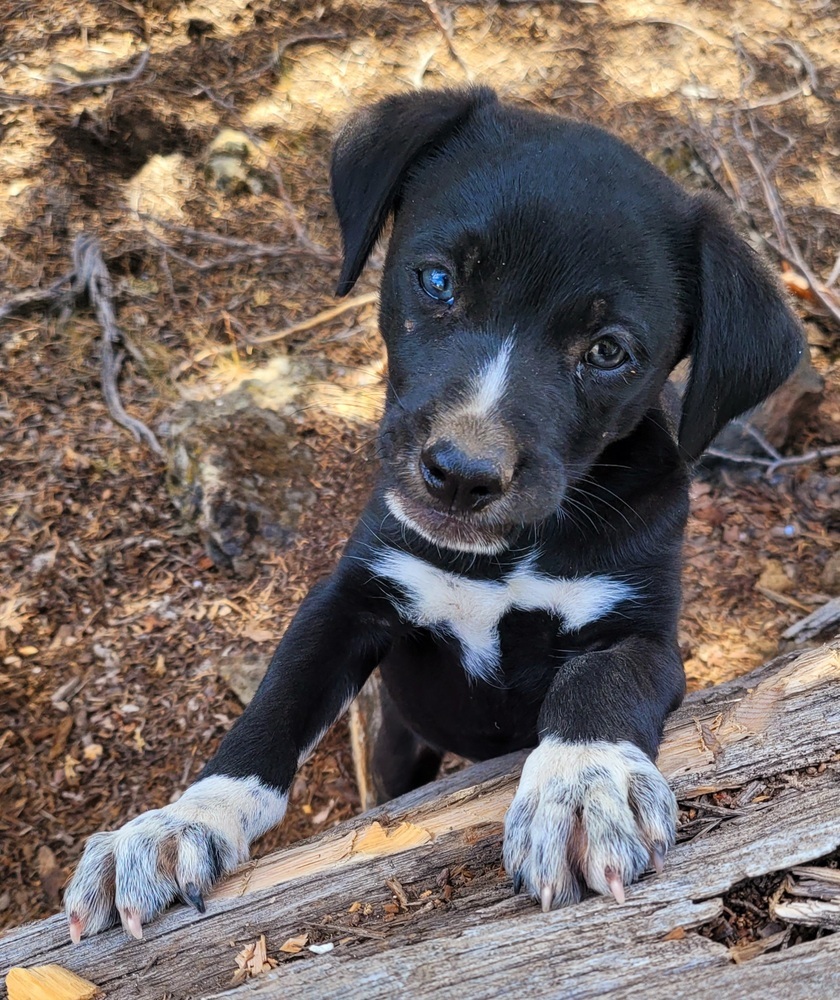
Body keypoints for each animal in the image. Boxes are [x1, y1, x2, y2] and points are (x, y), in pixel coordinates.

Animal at [65, 86, 800, 936]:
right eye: (439, 280)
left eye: (609, 350)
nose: (460, 475)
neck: (500, 558)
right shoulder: (352, 596)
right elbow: (273, 710)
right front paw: (180, 822)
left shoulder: (642, 629)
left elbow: (602, 684)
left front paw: (581, 788)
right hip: (397, 742)